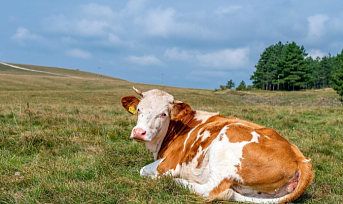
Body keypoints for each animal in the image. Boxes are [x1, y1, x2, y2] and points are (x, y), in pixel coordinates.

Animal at [121, 87, 314, 202]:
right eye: (139, 109)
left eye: (163, 114)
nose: (139, 132)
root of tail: (300, 158)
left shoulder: (169, 164)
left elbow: (143, 170)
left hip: (225, 146)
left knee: (214, 190)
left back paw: (175, 182)